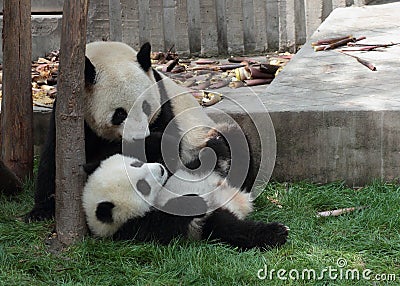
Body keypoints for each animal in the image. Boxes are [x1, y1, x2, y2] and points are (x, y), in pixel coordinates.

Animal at [26, 41, 255, 222]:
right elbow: (55, 156)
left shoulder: (165, 107)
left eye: (145, 106)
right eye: (119, 114)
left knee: (228, 145)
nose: (139, 137)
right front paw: (42, 210)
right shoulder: (70, 111)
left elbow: (168, 151)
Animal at [83, 154, 288, 250]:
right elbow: (167, 224)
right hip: (209, 222)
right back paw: (277, 233)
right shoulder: (136, 228)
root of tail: (241, 201)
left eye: (136, 164)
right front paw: (193, 201)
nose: (160, 169)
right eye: (142, 186)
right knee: (231, 229)